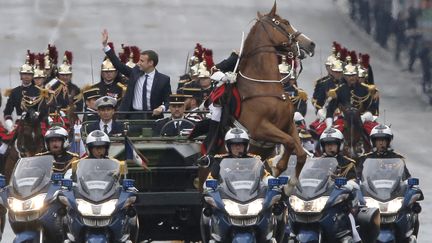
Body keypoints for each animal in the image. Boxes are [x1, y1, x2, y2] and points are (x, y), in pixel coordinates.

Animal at [233, 3, 314, 178]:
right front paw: (277, 168)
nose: (311, 44)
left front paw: (290, 182)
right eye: (285, 22)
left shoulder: (288, 125)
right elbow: (290, 143)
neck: (263, 85)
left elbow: (300, 153)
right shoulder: (260, 129)